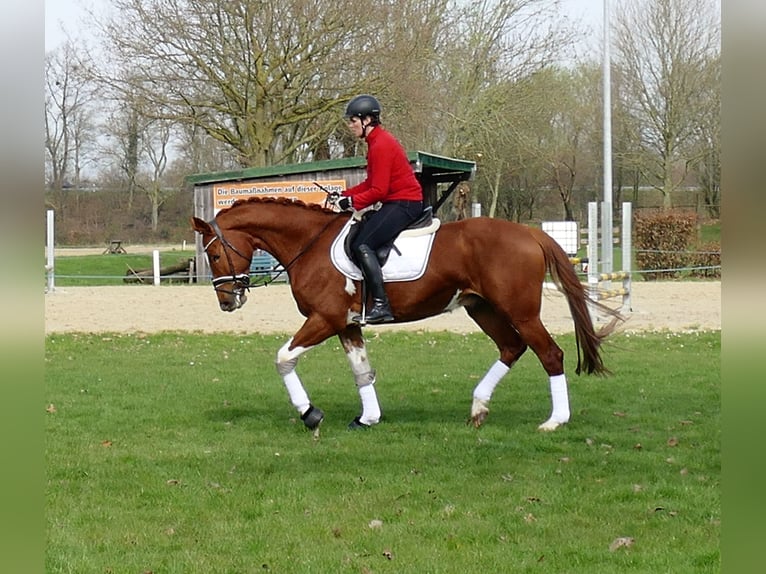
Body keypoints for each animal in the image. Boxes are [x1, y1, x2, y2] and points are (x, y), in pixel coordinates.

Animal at [192, 197, 624, 432]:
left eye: (214, 254)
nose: (227, 302)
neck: (308, 244)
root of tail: (529, 233)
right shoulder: (345, 325)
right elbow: (362, 371)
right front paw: (368, 418)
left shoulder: (324, 320)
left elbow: (283, 358)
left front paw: (310, 414)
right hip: (482, 308)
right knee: (511, 348)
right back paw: (478, 408)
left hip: (520, 310)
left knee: (549, 353)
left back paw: (555, 420)